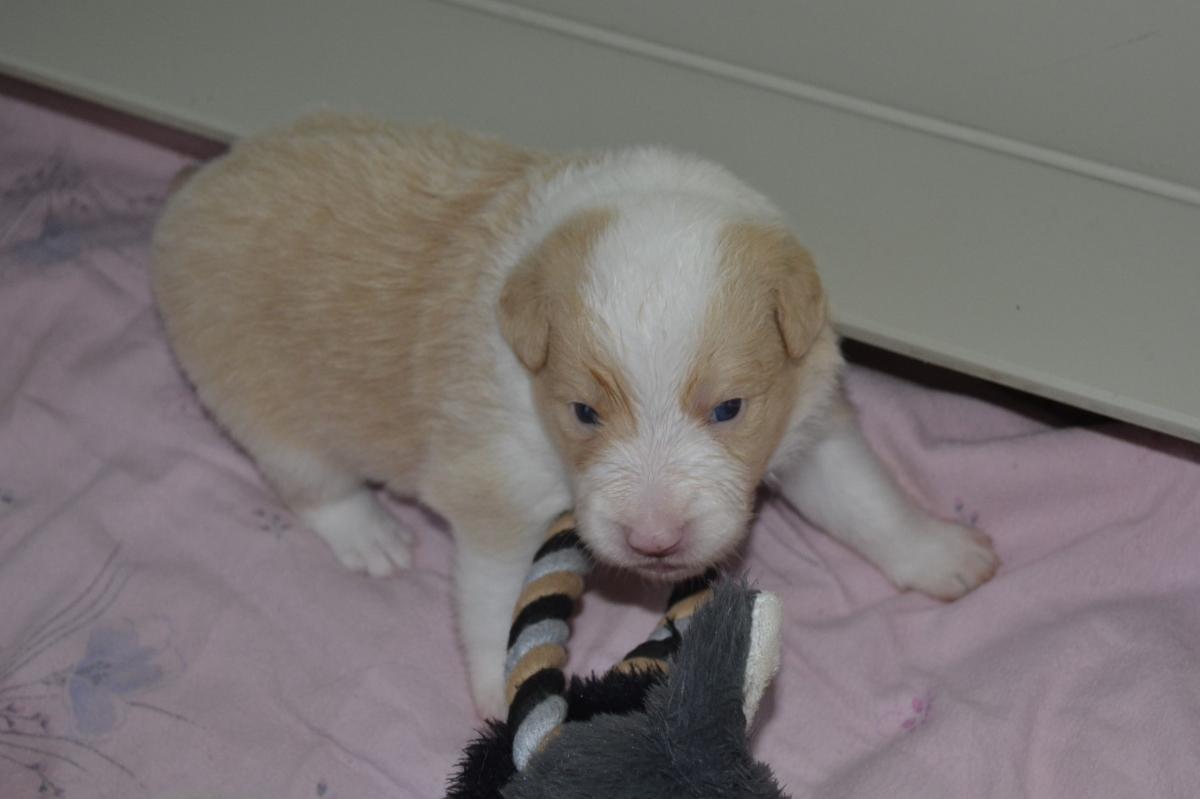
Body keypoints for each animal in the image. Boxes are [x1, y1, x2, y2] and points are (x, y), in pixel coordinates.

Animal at [151, 114, 998, 716]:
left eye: (728, 407)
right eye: (585, 411)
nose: (654, 541)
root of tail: (196, 188)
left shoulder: (810, 419)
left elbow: (866, 500)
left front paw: (943, 554)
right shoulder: (496, 492)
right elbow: (491, 599)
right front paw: (501, 697)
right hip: (256, 393)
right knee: (308, 480)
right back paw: (371, 535)